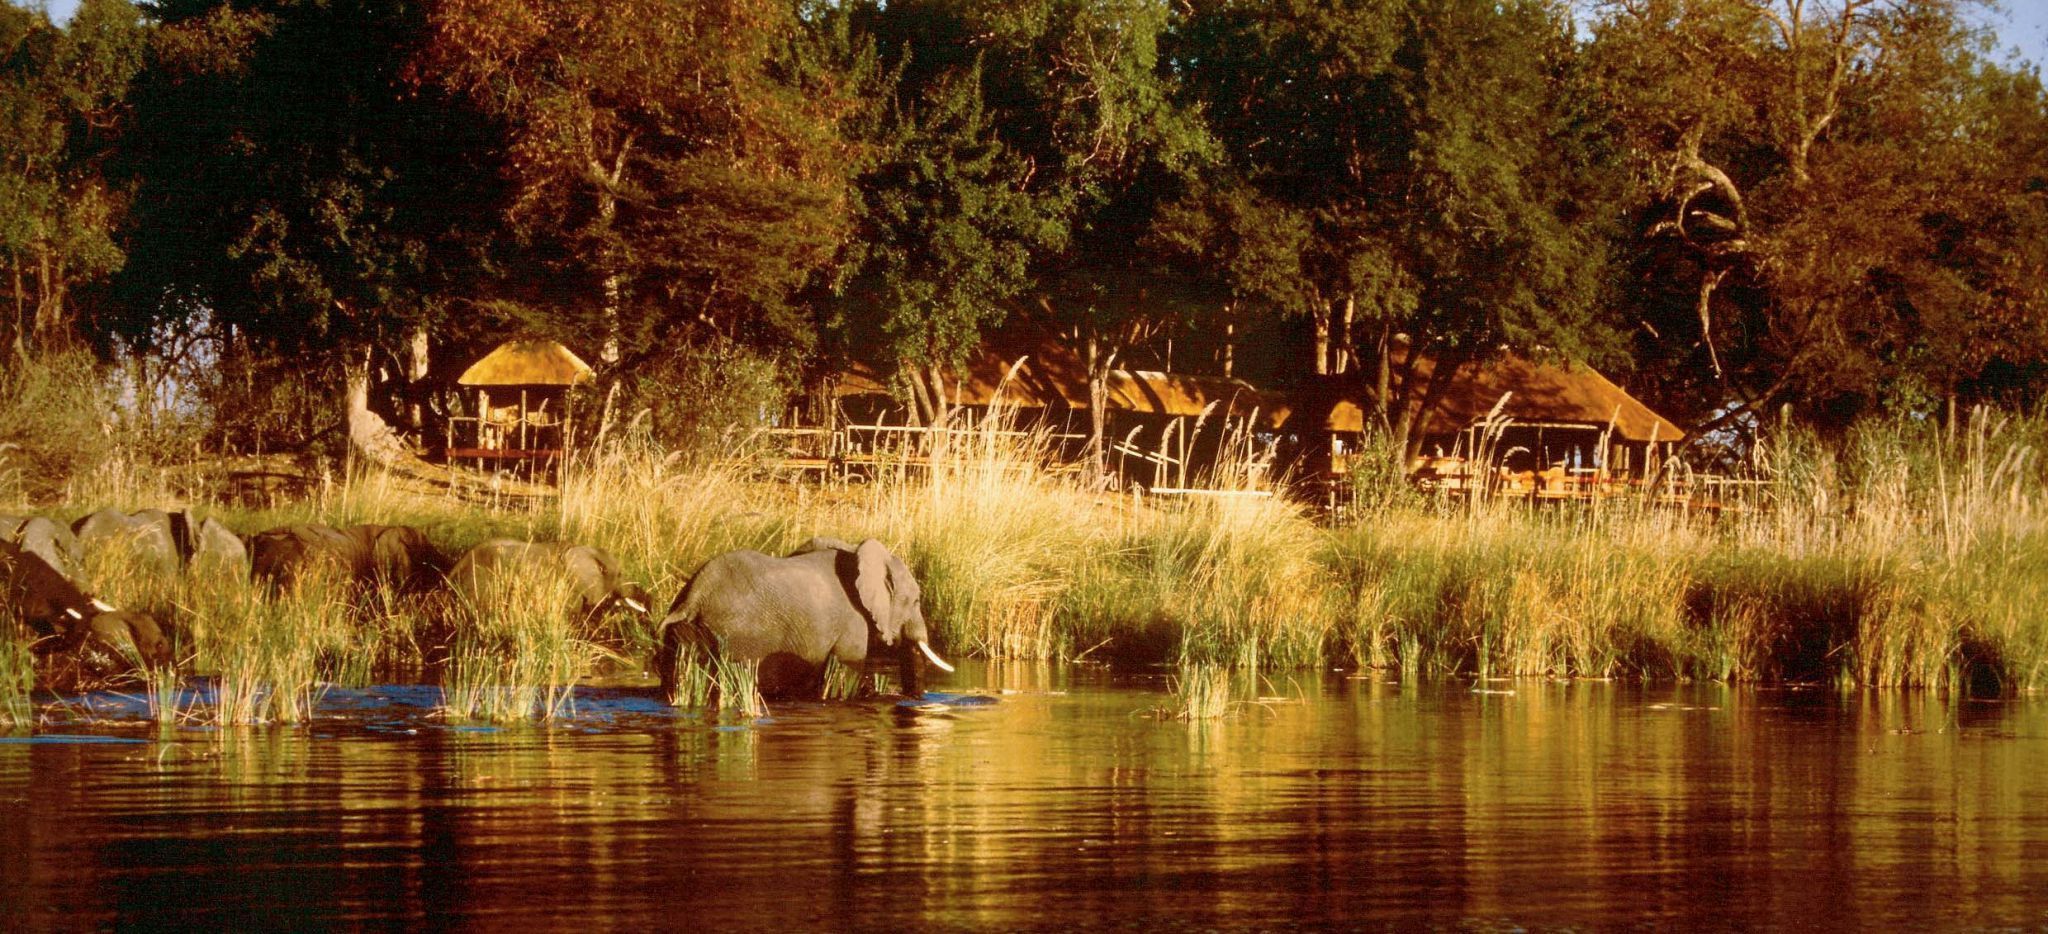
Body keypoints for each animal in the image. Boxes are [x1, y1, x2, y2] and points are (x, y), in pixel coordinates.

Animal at [655, 536, 950, 704]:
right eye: (916, 601)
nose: (912, 699)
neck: (856, 552)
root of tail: (696, 594)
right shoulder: (854, 623)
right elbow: (846, 673)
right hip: (738, 637)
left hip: (684, 633)